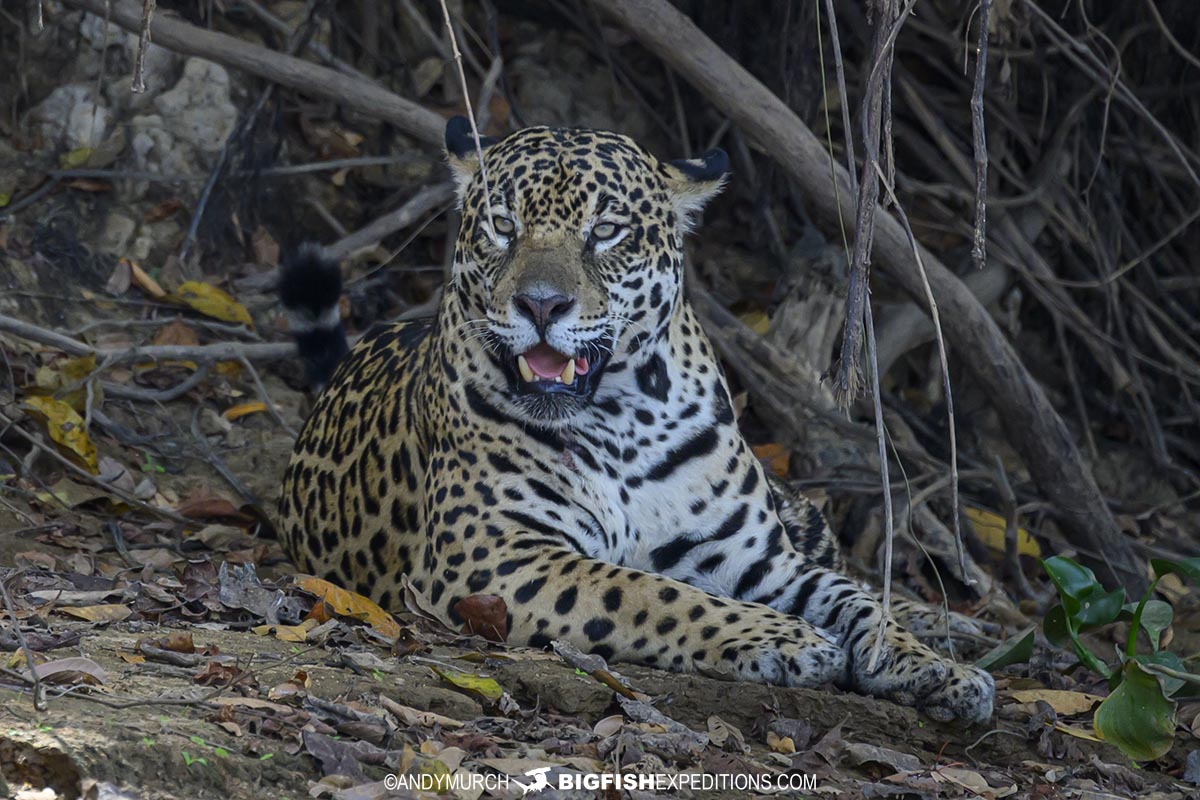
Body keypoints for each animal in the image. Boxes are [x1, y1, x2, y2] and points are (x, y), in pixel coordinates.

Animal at [277, 117, 995, 723]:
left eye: (606, 232)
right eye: (503, 226)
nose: (541, 305)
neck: (624, 416)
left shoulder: (758, 558)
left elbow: (857, 601)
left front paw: (932, 667)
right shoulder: (491, 556)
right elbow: (646, 590)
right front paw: (789, 639)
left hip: (800, 513)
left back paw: (957, 629)